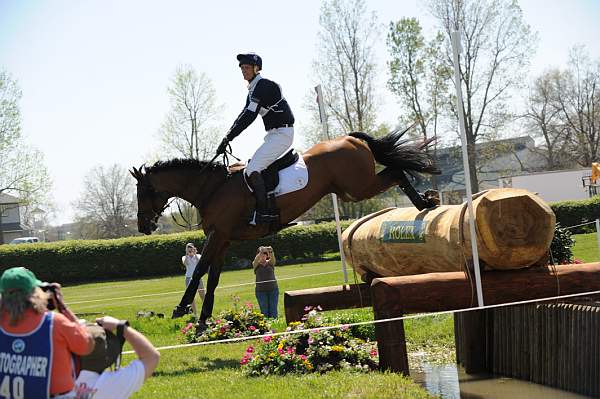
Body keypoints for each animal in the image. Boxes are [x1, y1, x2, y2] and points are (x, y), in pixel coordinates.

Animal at [131, 128, 440, 328]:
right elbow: (213, 278)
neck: (211, 188)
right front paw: (204, 322)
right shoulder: (222, 240)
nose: (144, 226)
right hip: (350, 190)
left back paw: (426, 201)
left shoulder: (218, 237)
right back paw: (426, 201)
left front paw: (181, 309)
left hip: (358, 188)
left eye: (143, 192)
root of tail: (350, 138)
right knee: (393, 171)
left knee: (396, 172)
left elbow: (198, 274)